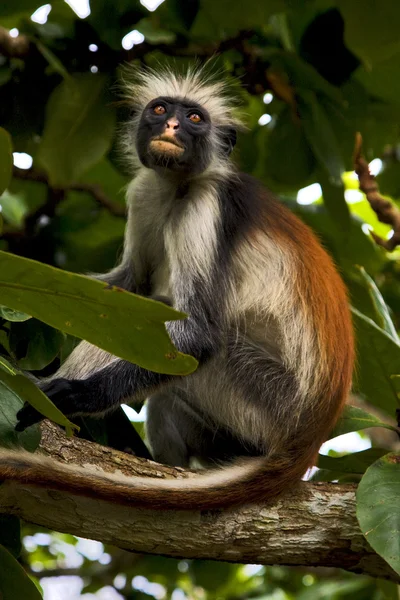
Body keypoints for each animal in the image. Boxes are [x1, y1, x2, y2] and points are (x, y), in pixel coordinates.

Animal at [0, 65, 354, 508]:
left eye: (195, 118)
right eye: (160, 109)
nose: (171, 126)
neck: (176, 185)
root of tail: (303, 445)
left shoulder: (203, 206)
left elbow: (198, 334)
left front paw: (78, 396)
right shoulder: (146, 191)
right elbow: (126, 286)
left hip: (265, 399)